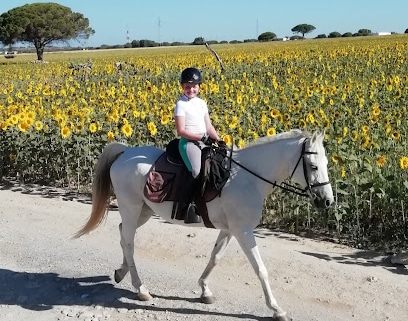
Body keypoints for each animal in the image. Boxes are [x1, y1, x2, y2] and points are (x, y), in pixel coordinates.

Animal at [75, 128, 334, 320]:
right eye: (313, 166)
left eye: (327, 163)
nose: (328, 201)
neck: (248, 178)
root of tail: (125, 152)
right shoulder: (243, 231)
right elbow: (260, 269)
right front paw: (276, 309)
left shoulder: (230, 229)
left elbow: (215, 257)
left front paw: (204, 290)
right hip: (131, 208)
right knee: (128, 242)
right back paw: (141, 289)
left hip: (144, 211)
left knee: (123, 235)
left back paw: (121, 272)